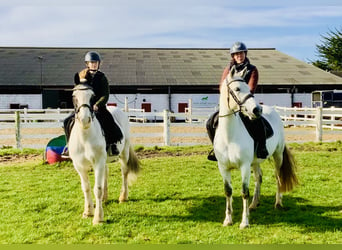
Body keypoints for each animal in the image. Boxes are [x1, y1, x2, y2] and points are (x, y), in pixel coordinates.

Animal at [69, 84, 140, 225]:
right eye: (74, 97)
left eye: (92, 96)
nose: (85, 120)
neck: (85, 137)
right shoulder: (79, 166)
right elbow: (86, 188)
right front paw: (88, 212)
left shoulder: (98, 162)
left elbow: (97, 188)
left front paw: (98, 217)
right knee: (106, 173)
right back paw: (105, 198)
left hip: (123, 153)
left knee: (124, 172)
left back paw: (123, 197)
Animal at [215, 70, 298, 229]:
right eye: (237, 89)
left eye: (249, 88)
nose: (257, 110)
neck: (229, 136)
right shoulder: (223, 168)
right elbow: (228, 191)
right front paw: (228, 220)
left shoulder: (244, 166)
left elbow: (244, 192)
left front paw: (244, 222)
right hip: (255, 162)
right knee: (258, 178)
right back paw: (253, 204)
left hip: (277, 156)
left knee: (278, 177)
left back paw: (278, 203)